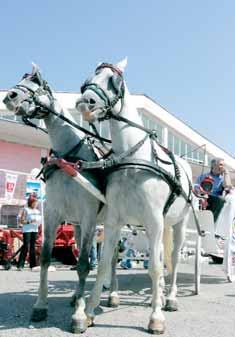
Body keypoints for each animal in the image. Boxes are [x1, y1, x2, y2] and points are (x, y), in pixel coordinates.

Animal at [2, 64, 111, 332]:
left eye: (37, 82)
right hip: (81, 225)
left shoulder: (89, 216)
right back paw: (78, 296)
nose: (10, 97)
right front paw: (41, 305)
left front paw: (80, 315)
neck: (69, 159)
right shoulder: (53, 214)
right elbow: (45, 258)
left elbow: (83, 264)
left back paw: (109, 294)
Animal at [76, 58, 196, 334]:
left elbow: (154, 267)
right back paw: (159, 295)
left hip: (177, 224)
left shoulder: (153, 220)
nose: (86, 103)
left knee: (173, 259)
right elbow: (103, 265)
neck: (134, 159)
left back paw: (170, 298)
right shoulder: (114, 222)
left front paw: (156, 317)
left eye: (114, 81)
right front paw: (88, 312)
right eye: (89, 78)